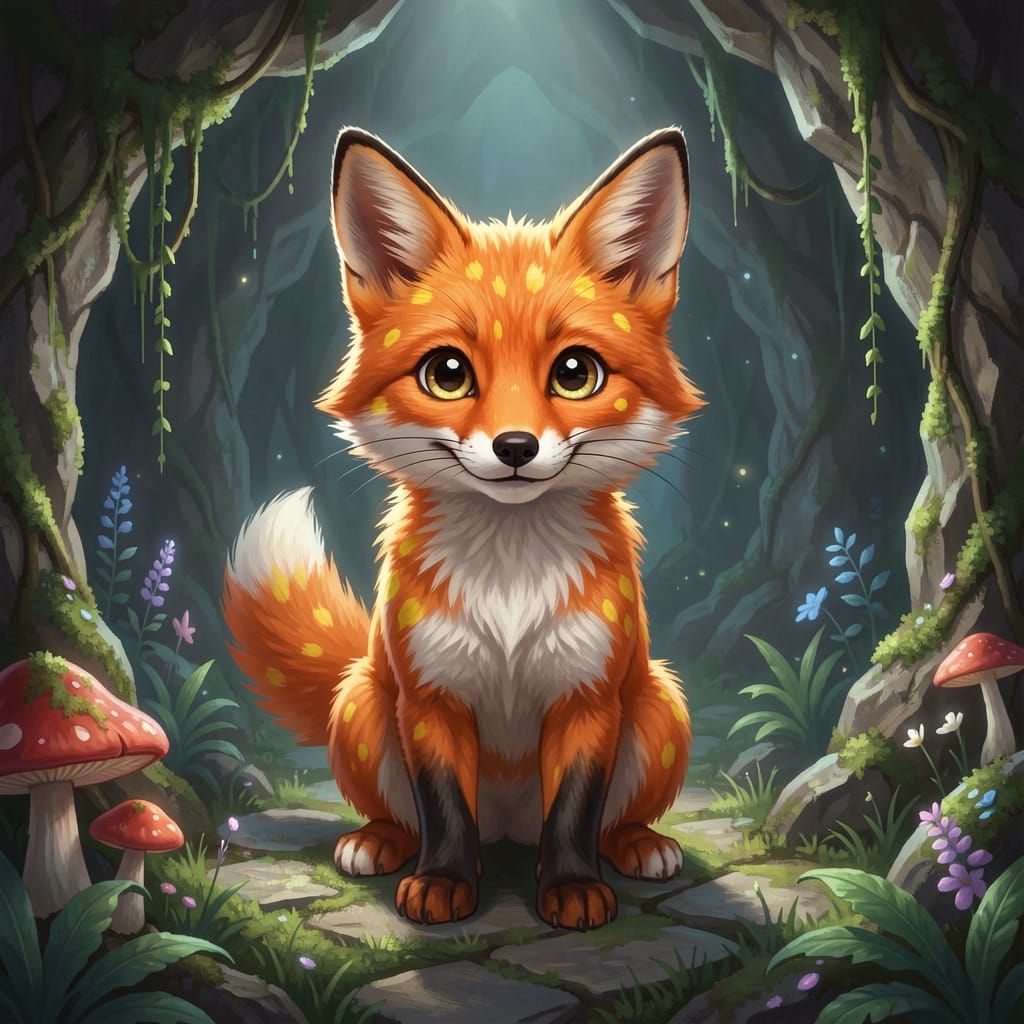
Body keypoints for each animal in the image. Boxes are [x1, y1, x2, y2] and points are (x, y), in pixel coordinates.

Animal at [222, 125, 704, 931]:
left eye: (575, 372)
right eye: (447, 372)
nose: (515, 447)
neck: (509, 587)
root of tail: (508, 829)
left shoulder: (586, 698)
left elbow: (575, 811)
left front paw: (572, 888)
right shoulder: (431, 697)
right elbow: (444, 808)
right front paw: (444, 882)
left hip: (658, 705)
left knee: (608, 818)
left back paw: (637, 845)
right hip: (362, 706)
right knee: (406, 814)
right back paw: (380, 843)